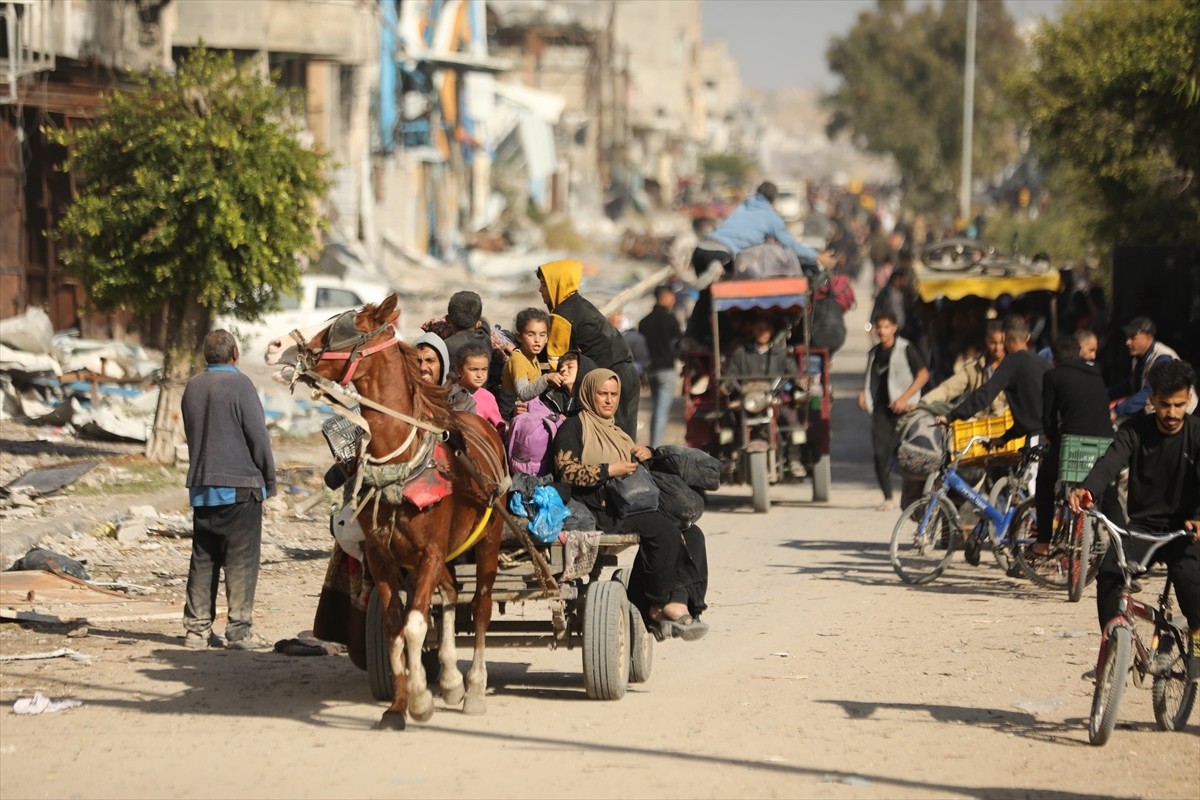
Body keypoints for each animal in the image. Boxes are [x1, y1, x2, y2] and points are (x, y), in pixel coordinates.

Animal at [265, 293, 504, 734]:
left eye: (339, 328)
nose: (275, 345)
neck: (400, 460)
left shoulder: (428, 553)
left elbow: (414, 624)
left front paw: (421, 702)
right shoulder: (383, 556)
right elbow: (395, 626)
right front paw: (400, 704)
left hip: (488, 541)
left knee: (479, 604)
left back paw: (475, 689)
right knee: (450, 593)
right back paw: (450, 680)